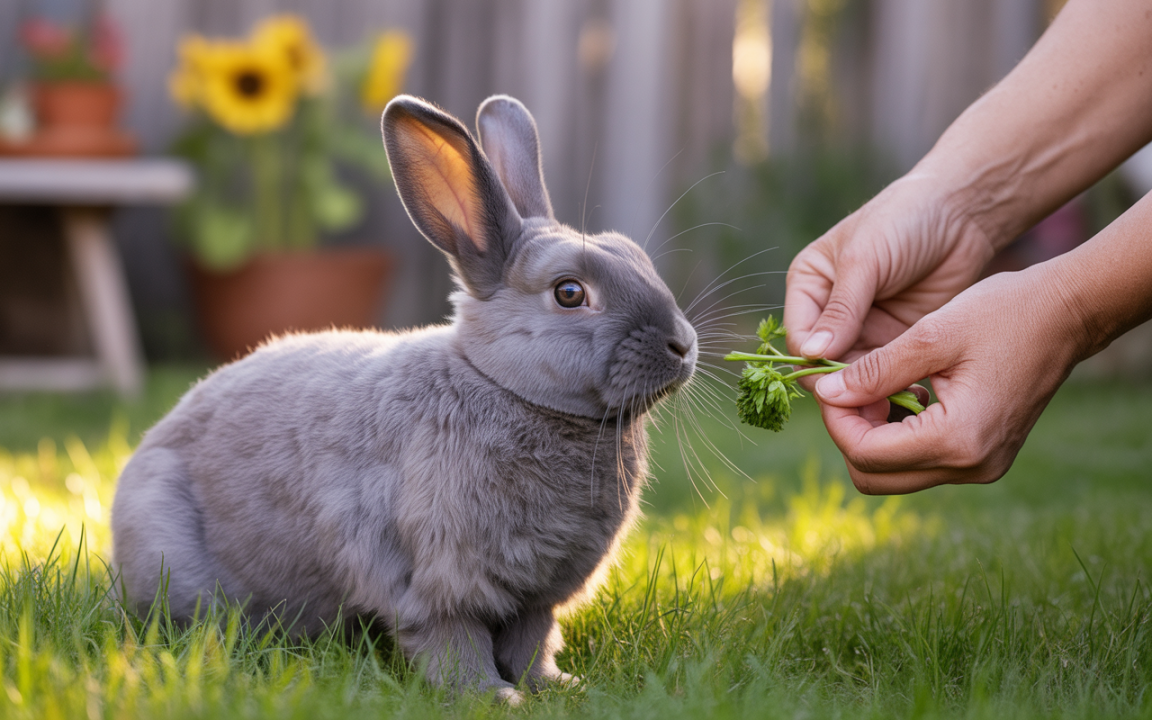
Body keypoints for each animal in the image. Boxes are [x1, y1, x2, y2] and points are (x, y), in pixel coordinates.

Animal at [110, 94, 697, 703]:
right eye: (569, 293)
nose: (683, 345)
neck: (504, 388)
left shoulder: (540, 592)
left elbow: (532, 640)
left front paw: (558, 687)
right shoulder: (433, 578)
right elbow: (454, 640)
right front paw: (490, 698)